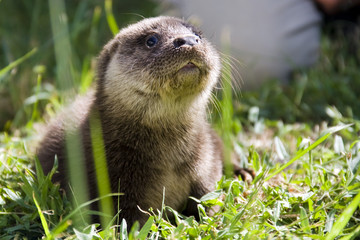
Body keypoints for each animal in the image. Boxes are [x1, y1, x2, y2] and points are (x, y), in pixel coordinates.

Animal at [36, 16, 231, 227]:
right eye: (151, 40)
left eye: (197, 35)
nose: (188, 40)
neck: (169, 157)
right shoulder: (112, 183)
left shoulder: (206, 159)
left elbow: (208, 195)